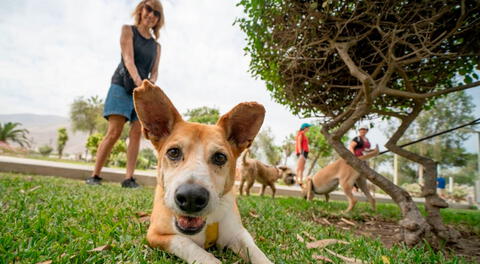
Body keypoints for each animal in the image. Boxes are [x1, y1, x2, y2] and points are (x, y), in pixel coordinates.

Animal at [133, 80, 272, 264]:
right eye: (173, 152)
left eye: (220, 157)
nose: (191, 197)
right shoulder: (156, 235)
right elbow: (187, 244)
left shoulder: (239, 234)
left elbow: (257, 253)